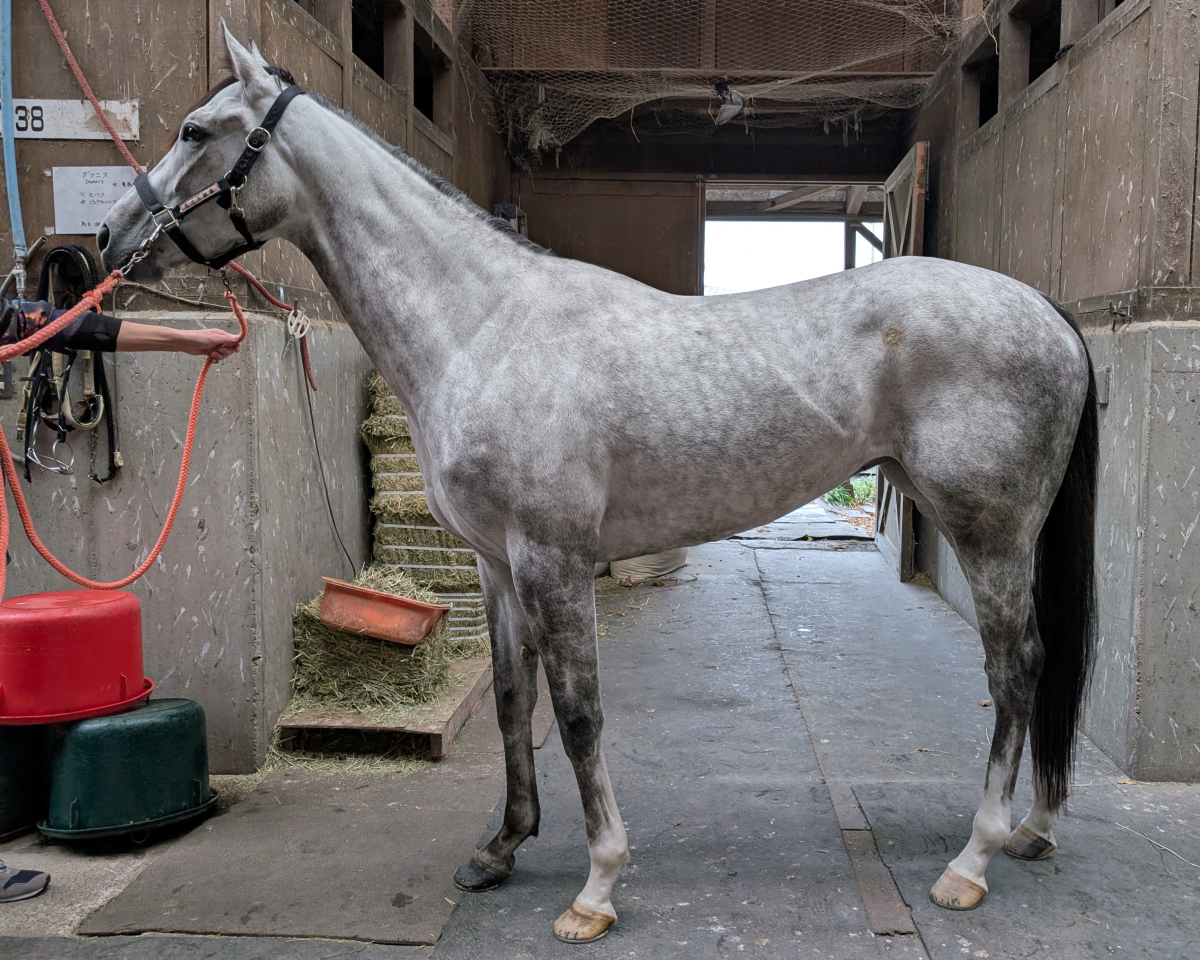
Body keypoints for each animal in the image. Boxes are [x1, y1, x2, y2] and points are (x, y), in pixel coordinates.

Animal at [99, 23, 1097, 943]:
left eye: (195, 131)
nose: (108, 238)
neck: (486, 326)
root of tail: (1047, 312)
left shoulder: (554, 559)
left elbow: (579, 714)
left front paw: (596, 887)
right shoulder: (499, 565)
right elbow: (514, 701)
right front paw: (501, 849)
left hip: (991, 532)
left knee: (1017, 668)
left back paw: (974, 858)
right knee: (1036, 673)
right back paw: (1036, 830)